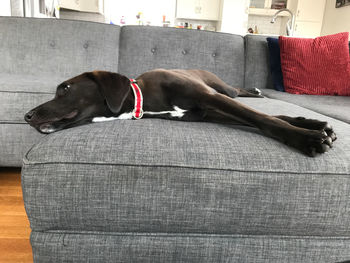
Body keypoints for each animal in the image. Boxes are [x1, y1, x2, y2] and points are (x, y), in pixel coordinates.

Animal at [24, 69, 336, 158]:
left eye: (65, 89)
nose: (27, 115)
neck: (143, 97)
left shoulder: (210, 99)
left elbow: (264, 119)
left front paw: (307, 137)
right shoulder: (209, 113)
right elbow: (262, 119)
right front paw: (311, 125)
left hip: (222, 90)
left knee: (237, 91)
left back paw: (255, 90)